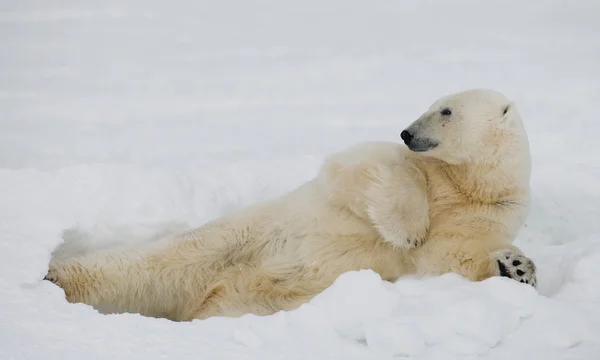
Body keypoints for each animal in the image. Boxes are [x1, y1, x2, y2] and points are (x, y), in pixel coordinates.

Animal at [44, 88, 536, 322]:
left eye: (446, 110)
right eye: (433, 104)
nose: (407, 132)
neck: (467, 182)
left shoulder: (490, 208)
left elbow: (452, 252)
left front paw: (517, 268)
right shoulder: (411, 170)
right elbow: (368, 168)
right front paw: (408, 228)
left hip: (248, 299)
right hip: (231, 240)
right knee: (138, 267)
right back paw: (54, 277)